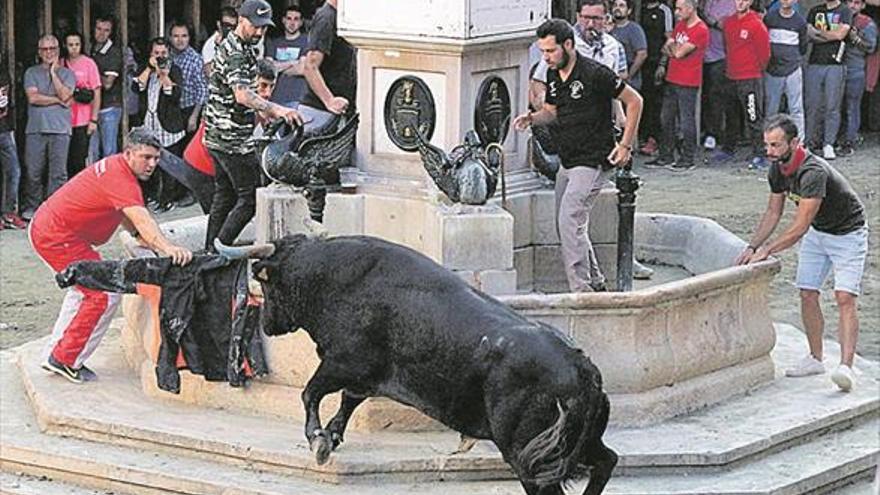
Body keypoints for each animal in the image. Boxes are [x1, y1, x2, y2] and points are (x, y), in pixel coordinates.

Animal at [237, 234, 620, 494]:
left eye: (266, 285)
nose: (268, 325)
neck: (332, 276)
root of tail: (582, 367)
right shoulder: (364, 377)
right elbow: (346, 401)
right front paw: (330, 436)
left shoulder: (342, 363)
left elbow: (310, 393)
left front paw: (318, 439)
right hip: (574, 445)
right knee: (607, 460)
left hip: (529, 454)